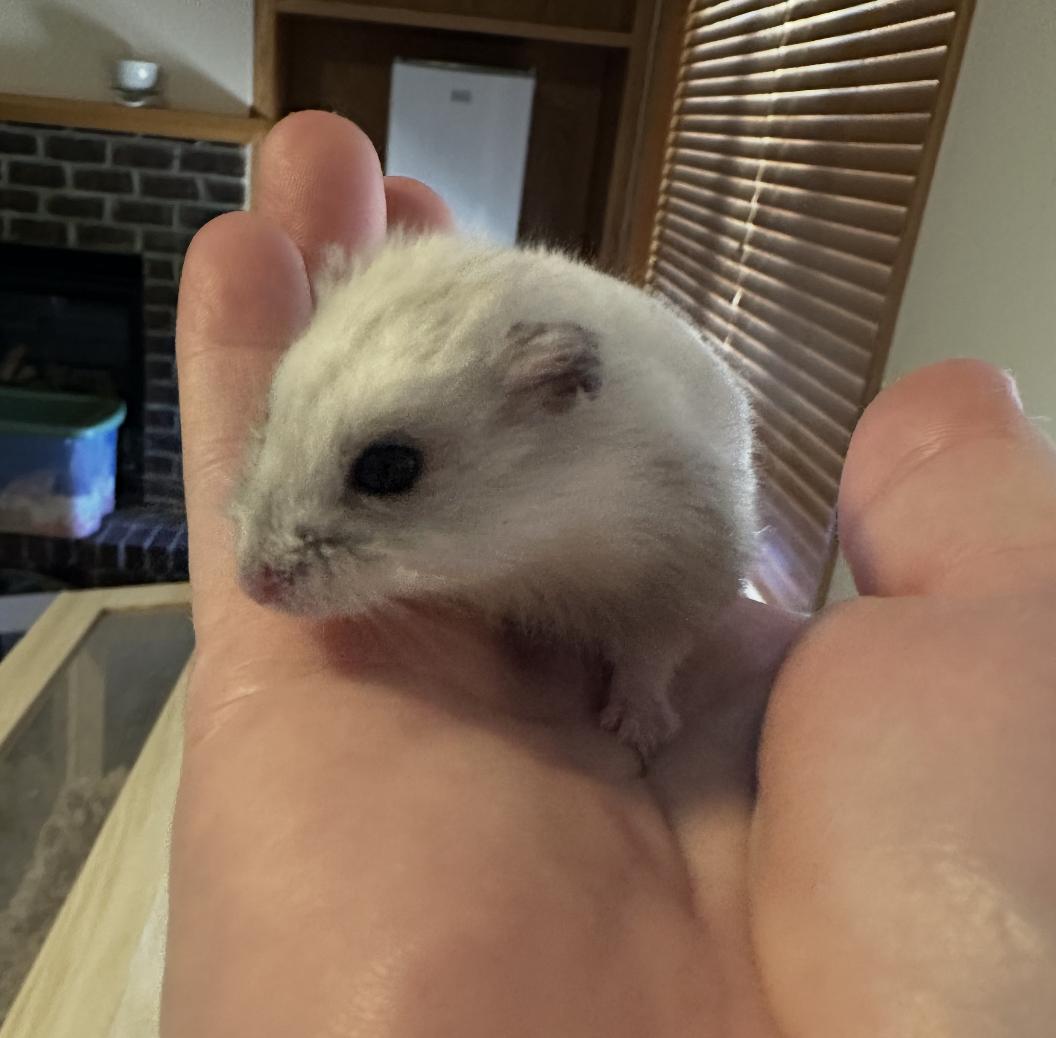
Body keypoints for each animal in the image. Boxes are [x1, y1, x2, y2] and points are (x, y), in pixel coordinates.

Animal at [232, 233, 757, 757]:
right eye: (270, 414)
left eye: (388, 468)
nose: (252, 587)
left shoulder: (690, 568)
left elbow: (651, 655)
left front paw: (636, 731)